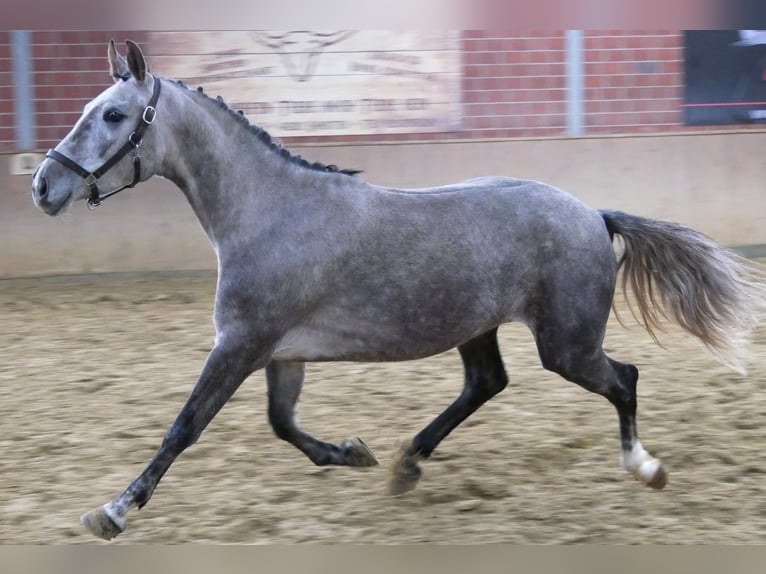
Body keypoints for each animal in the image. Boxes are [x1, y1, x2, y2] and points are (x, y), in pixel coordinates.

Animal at [31, 40, 766, 541]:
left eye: (114, 115)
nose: (43, 185)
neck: (268, 212)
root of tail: (593, 214)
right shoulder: (279, 353)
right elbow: (282, 423)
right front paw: (353, 454)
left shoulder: (240, 344)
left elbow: (185, 426)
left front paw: (114, 510)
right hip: (480, 327)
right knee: (487, 383)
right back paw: (408, 463)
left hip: (567, 345)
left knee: (624, 379)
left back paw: (645, 467)